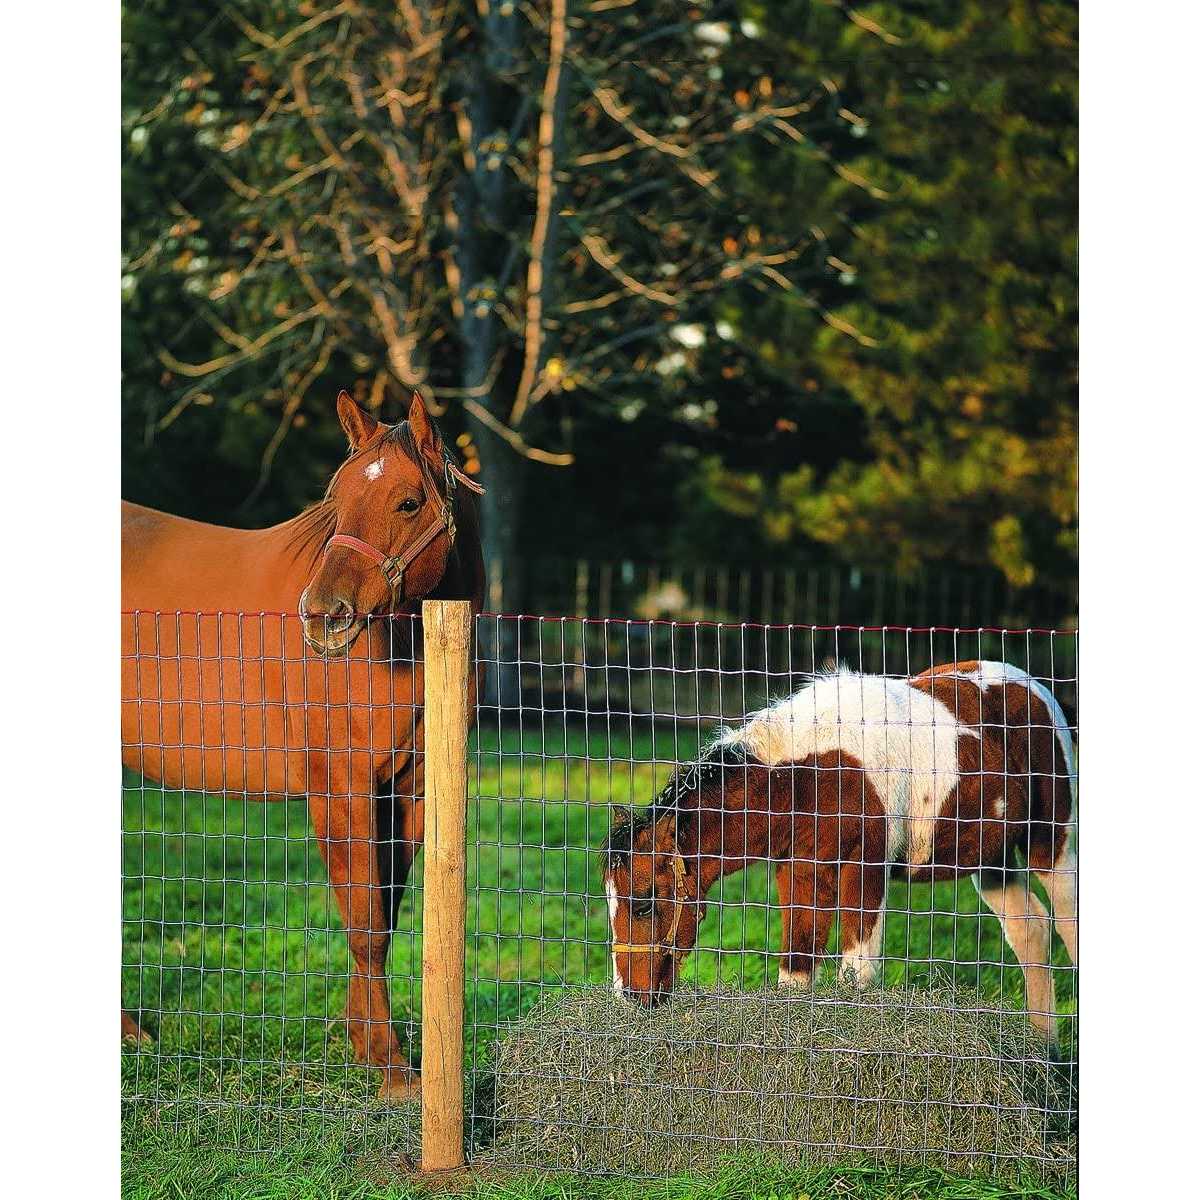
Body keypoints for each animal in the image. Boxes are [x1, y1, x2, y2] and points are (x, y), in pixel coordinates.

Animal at [121, 389, 485, 1098]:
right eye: (335, 499)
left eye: (408, 502)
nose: (323, 615)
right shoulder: (340, 788)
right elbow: (364, 920)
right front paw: (391, 1068)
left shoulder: (407, 792)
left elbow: (383, 918)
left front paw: (367, 1047)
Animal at [602, 660, 1077, 1042]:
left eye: (643, 905)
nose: (630, 996)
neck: (809, 775)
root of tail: (1033, 687)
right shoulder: (798, 873)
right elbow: (795, 972)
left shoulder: (864, 871)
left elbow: (857, 974)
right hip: (992, 858)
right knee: (1030, 929)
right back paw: (1044, 1050)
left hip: (1050, 843)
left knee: (1066, 923)